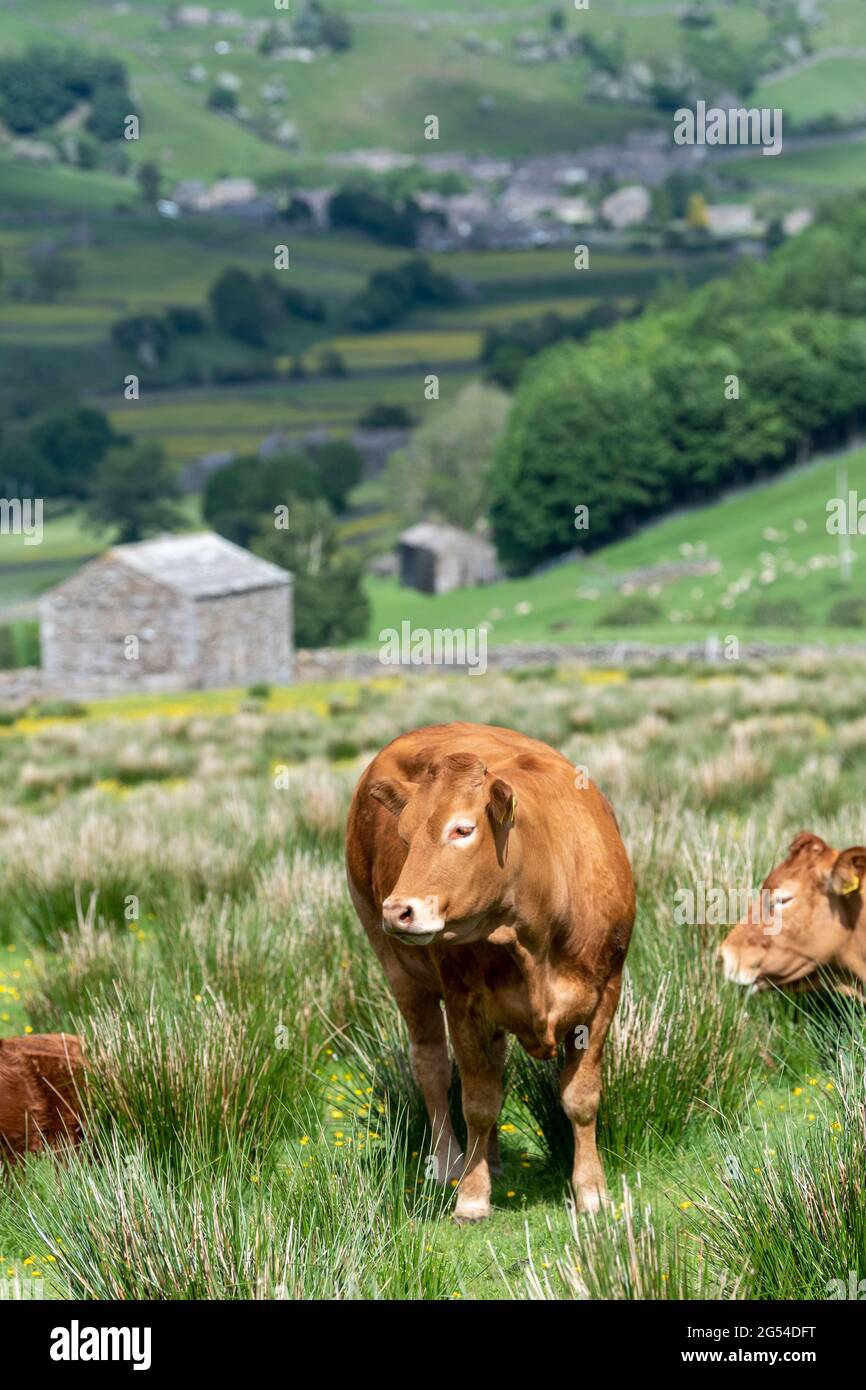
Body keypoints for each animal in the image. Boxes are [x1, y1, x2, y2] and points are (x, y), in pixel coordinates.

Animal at [346, 722, 636, 1223]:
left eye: (463, 829)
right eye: (404, 834)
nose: (398, 911)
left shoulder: (604, 994)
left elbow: (580, 1098)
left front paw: (591, 1191)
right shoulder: (464, 1002)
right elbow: (477, 1103)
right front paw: (472, 1197)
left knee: (494, 1069)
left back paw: (494, 1161)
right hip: (401, 975)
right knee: (432, 1069)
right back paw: (451, 1164)